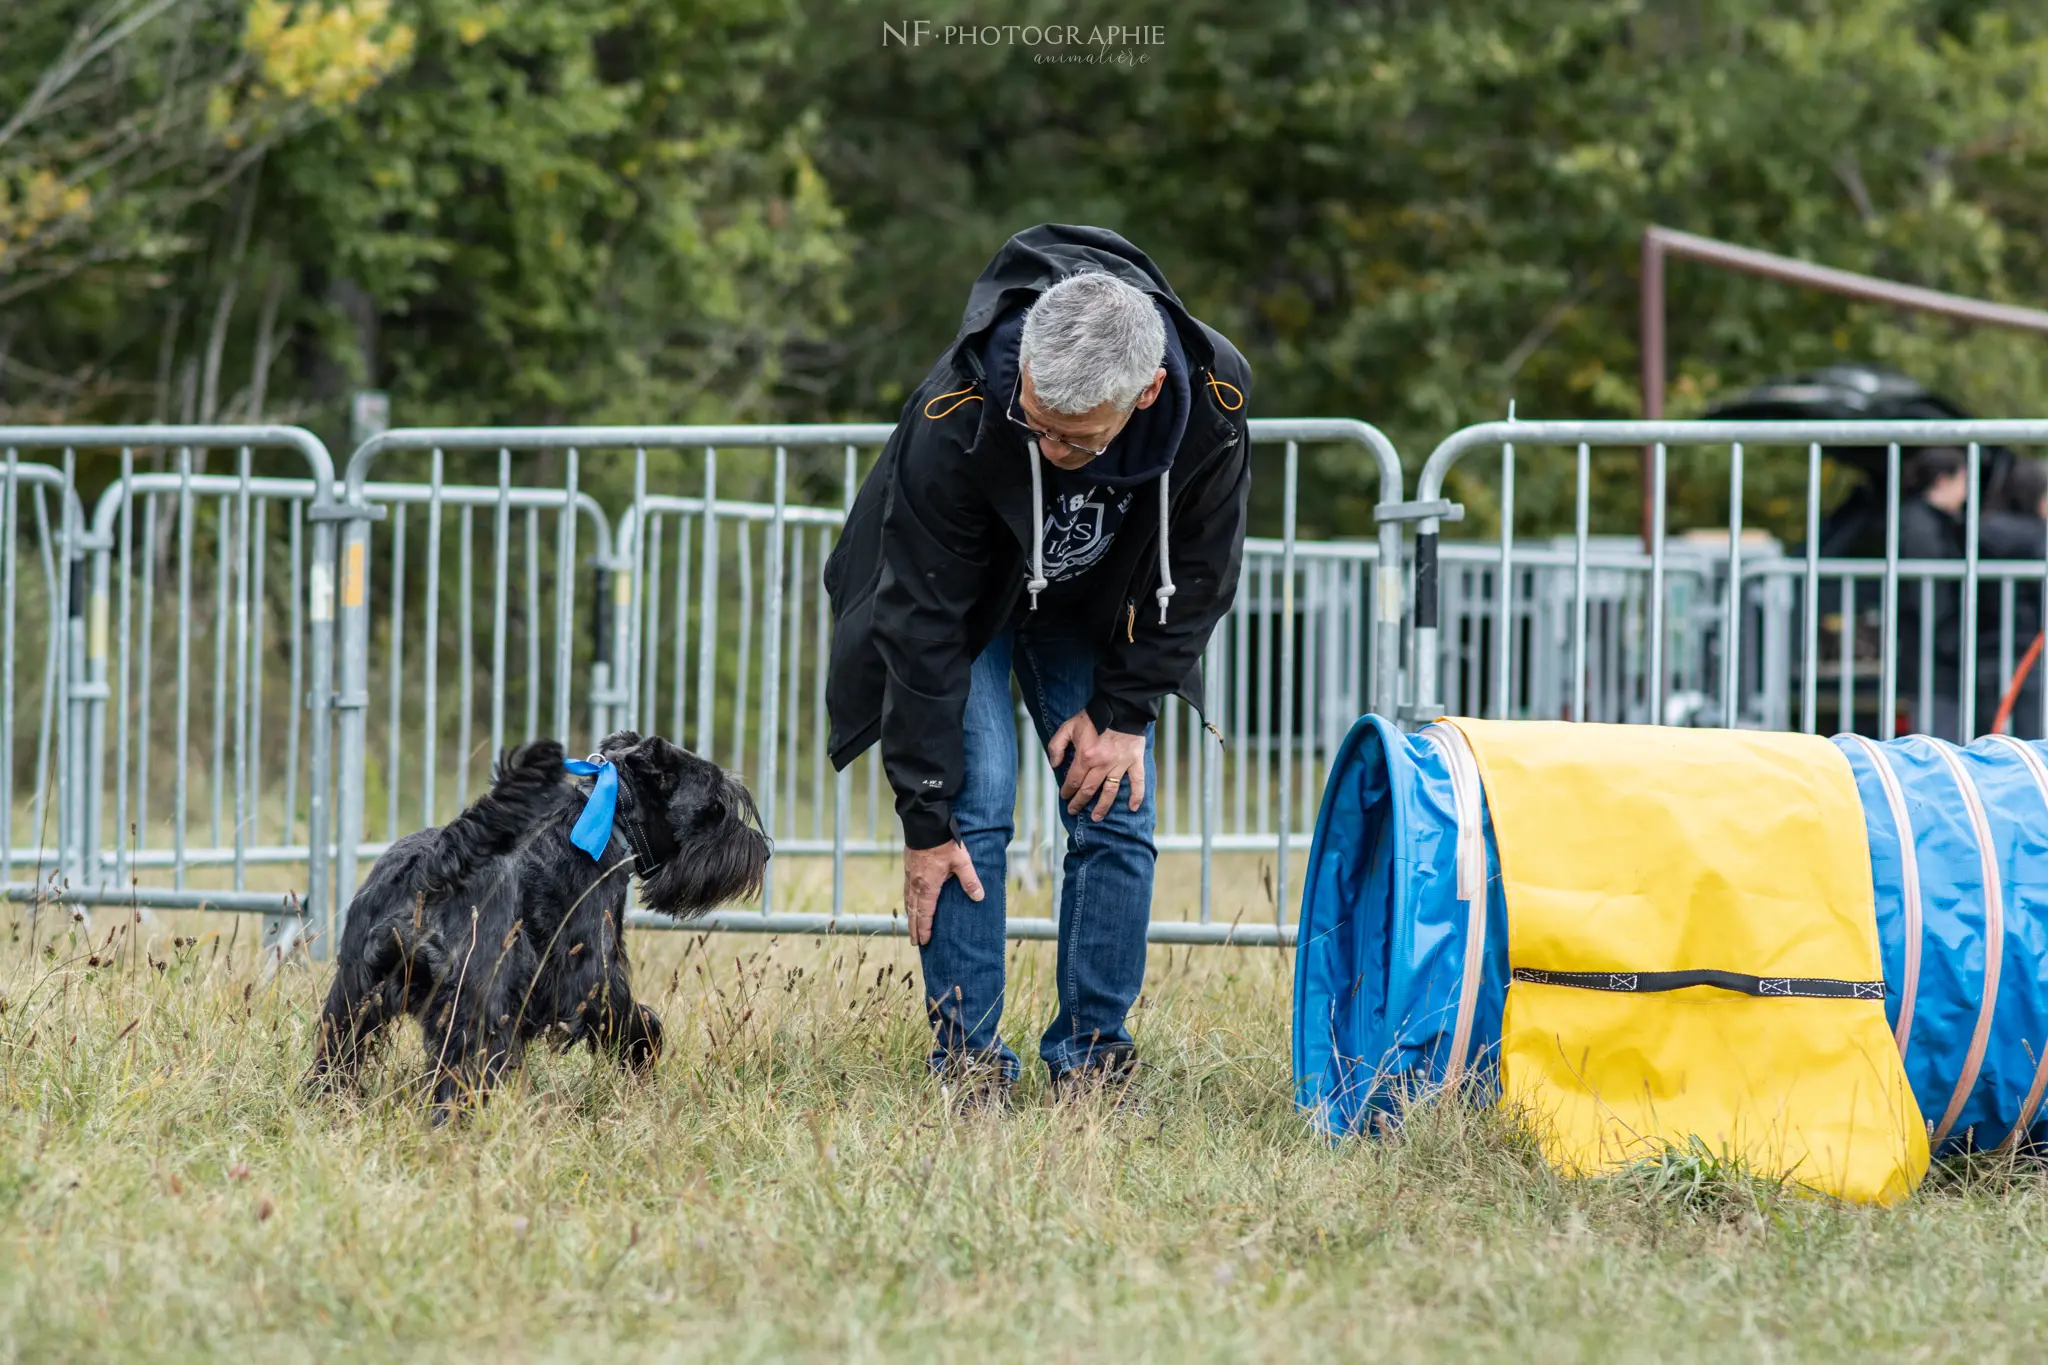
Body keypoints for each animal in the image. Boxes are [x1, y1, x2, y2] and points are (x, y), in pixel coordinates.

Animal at [311, 732, 770, 1113]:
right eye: (717, 806)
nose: (763, 853)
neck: (608, 825)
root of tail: (432, 867)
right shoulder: (595, 980)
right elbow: (634, 1021)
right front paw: (644, 1058)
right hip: (473, 1012)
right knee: (456, 1082)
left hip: (352, 999)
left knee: (334, 1060)